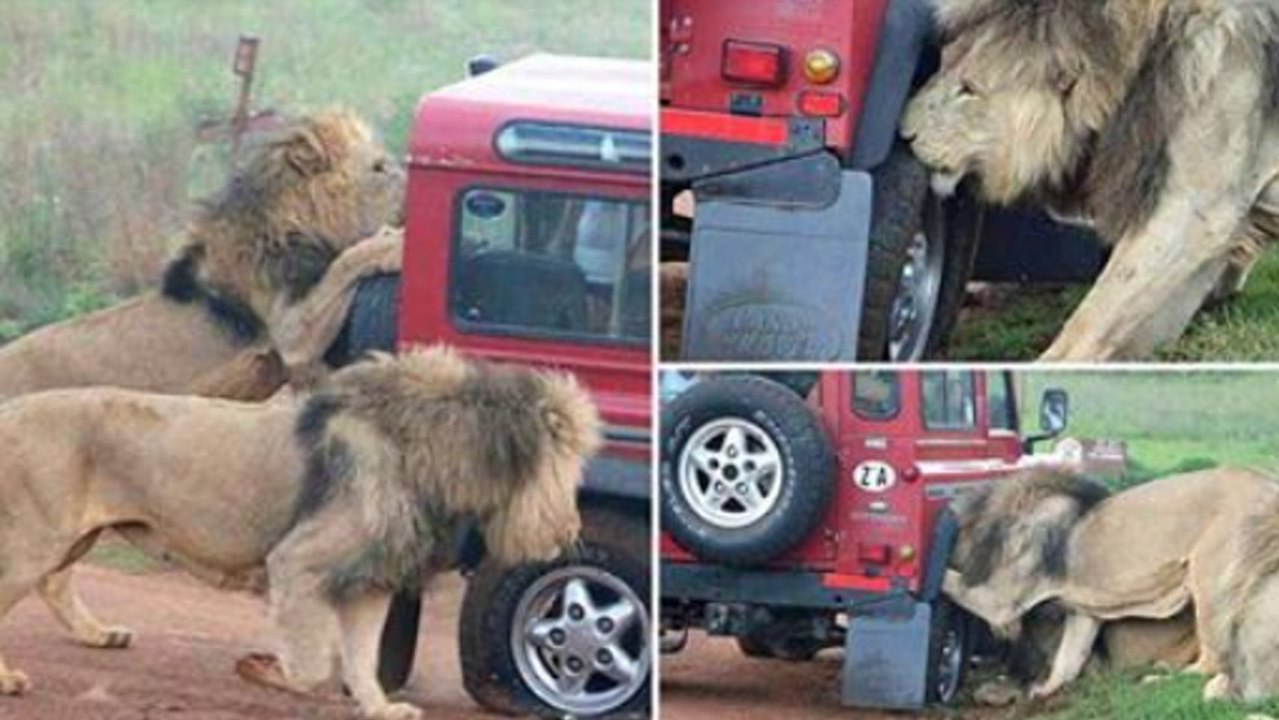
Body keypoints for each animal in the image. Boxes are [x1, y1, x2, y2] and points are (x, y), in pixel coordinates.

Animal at [0, 348, 600, 720]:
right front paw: (263, 670)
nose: (572, 527)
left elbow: (361, 657)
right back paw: (10, 679)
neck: (429, 456)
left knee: (56, 582)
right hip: (36, 537)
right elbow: (314, 666)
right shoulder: (297, 560)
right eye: (566, 467)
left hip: (71, 534)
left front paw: (380, 708)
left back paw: (99, 635)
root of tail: (12, 408)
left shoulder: (371, 581)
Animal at [945, 467, 1279, 700]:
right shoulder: (1082, 611)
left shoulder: (1001, 599)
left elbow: (950, 581)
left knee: (1213, 661)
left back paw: (1157, 678)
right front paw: (1044, 690)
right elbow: (1069, 660)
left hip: (1210, 582)